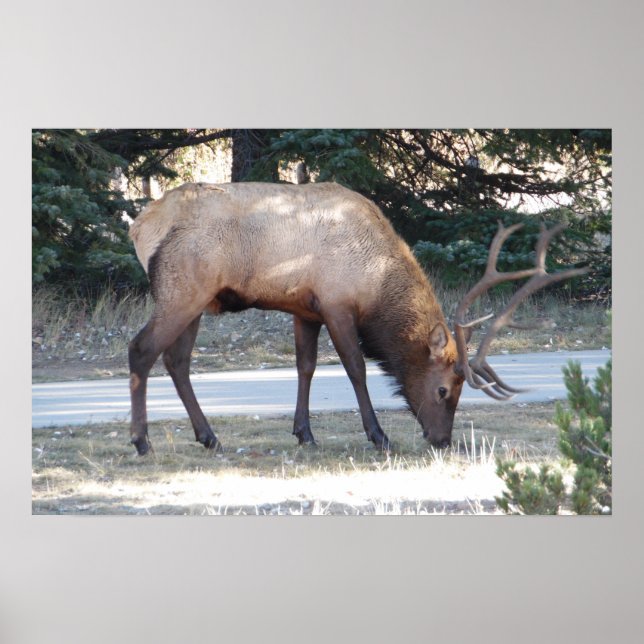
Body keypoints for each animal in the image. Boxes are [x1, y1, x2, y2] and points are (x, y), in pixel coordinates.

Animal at [127, 181, 585, 455]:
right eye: (443, 390)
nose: (442, 440)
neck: (375, 281)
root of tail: (139, 227)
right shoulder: (336, 304)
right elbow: (356, 368)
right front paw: (379, 435)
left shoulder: (304, 309)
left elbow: (306, 367)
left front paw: (304, 433)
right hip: (182, 290)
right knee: (141, 349)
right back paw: (142, 440)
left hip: (197, 301)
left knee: (177, 361)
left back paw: (208, 436)